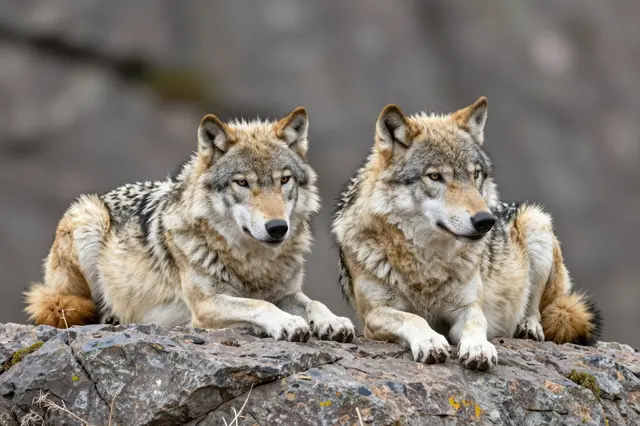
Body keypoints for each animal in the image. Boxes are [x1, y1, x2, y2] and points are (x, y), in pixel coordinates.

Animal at [25, 107, 356, 343]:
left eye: (284, 180)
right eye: (242, 183)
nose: (277, 228)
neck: (252, 265)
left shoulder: (287, 293)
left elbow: (314, 303)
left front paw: (332, 321)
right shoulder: (204, 305)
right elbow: (259, 305)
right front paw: (286, 323)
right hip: (88, 217)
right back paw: (111, 318)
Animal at [332, 97, 601, 369]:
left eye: (475, 174)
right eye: (435, 176)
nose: (485, 221)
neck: (427, 264)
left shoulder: (467, 306)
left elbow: (476, 323)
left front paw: (479, 348)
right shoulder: (373, 314)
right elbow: (414, 318)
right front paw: (430, 341)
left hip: (537, 224)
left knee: (538, 308)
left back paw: (529, 327)